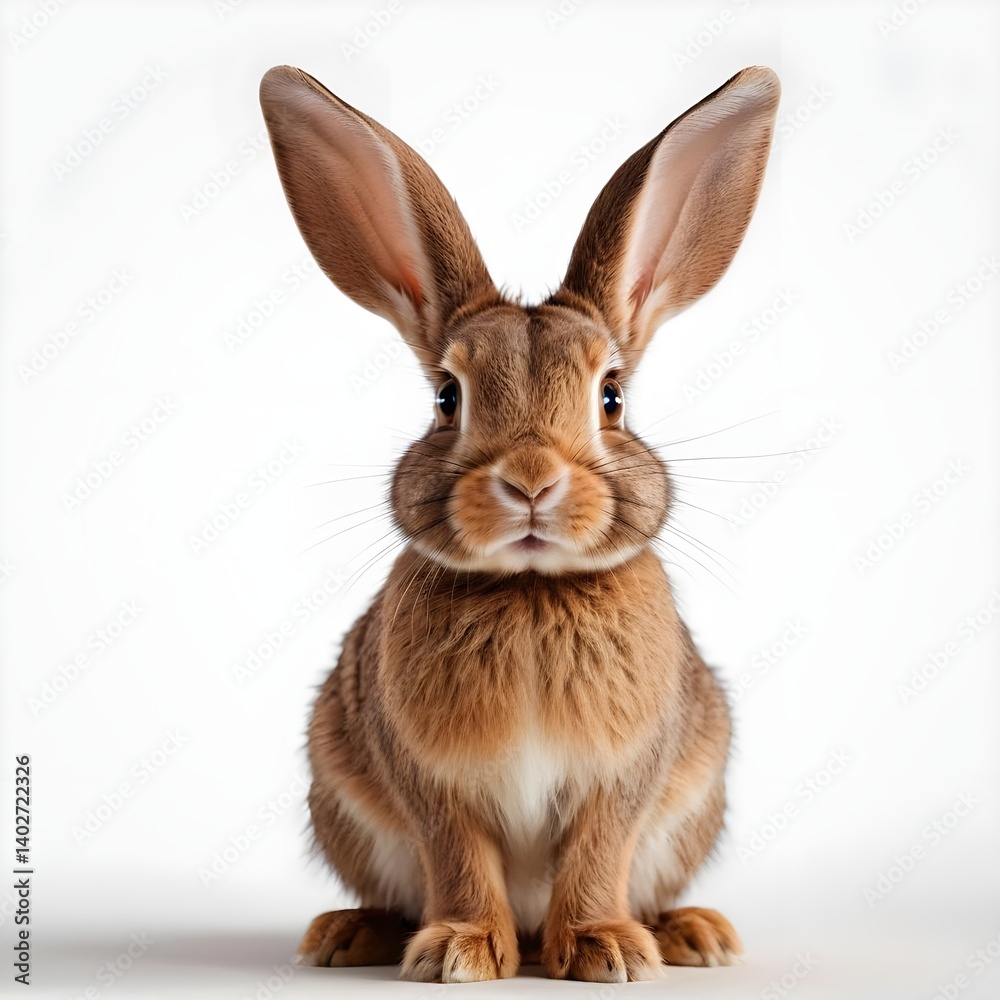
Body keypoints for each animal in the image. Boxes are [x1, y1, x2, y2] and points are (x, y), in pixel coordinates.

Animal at [259, 63, 780, 983]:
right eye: (446, 398)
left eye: (611, 398)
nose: (531, 480)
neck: (532, 591)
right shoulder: (434, 787)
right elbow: (460, 858)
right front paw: (460, 953)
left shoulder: (622, 782)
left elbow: (599, 854)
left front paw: (607, 950)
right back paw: (350, 934)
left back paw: (689, 932)